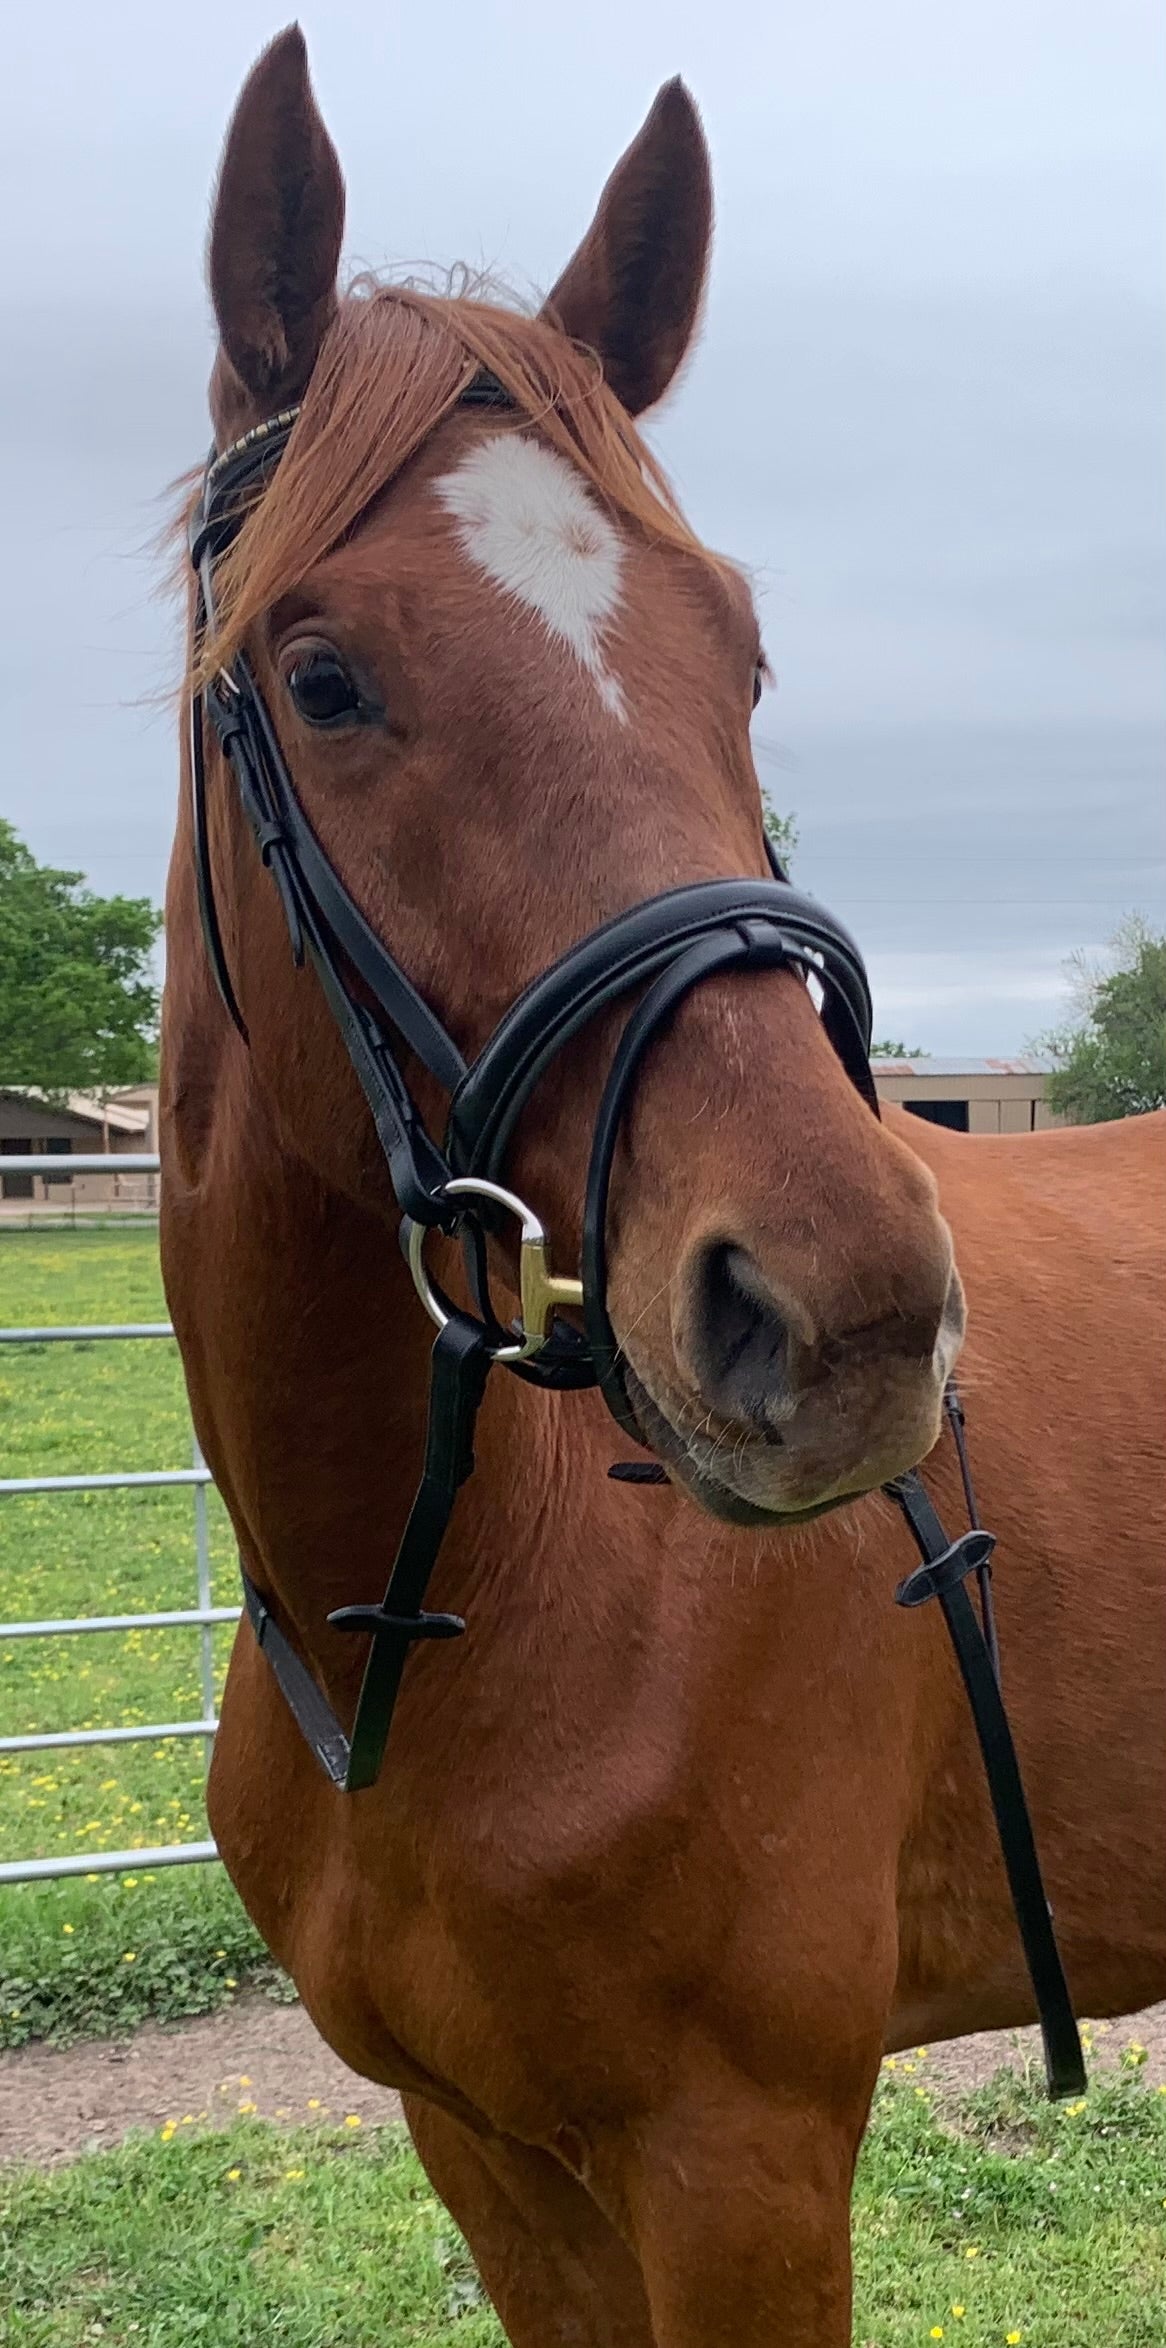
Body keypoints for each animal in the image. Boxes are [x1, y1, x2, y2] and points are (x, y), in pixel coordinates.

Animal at [161, 27, 1163, 2338]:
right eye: (324, 677)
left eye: (740, 655)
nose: (850, 1318)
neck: (464, 1601)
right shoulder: (494, 2163)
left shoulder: (742, 2168)